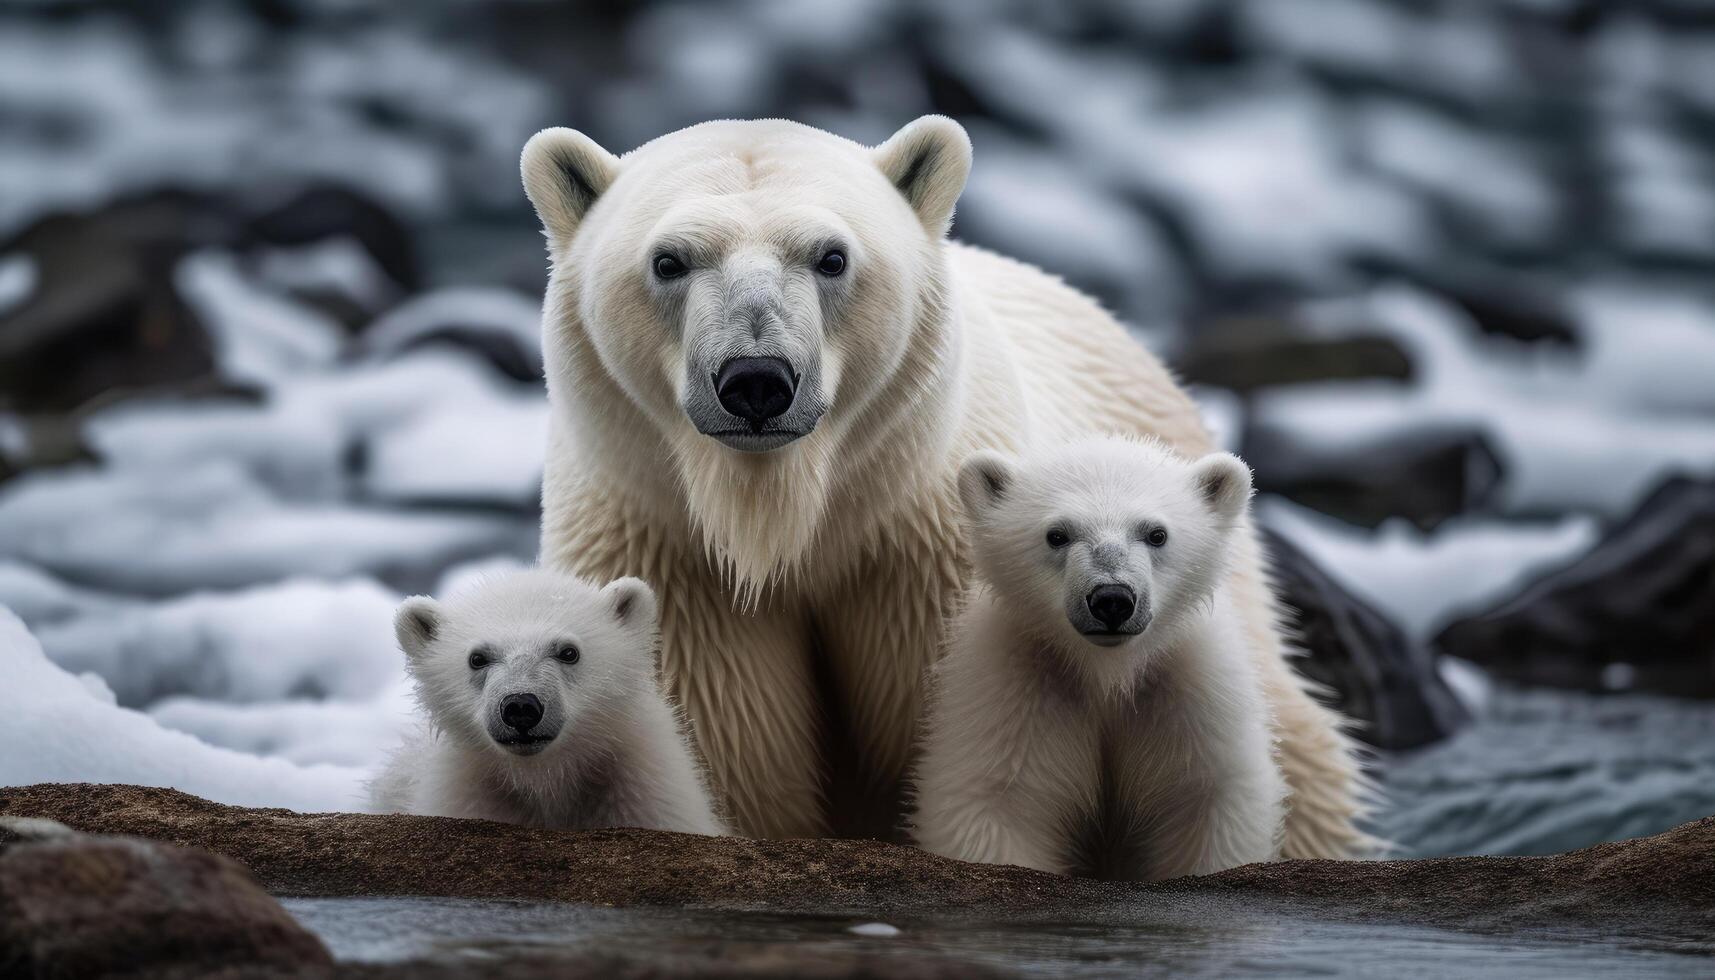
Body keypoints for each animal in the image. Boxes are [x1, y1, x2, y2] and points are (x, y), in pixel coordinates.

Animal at [517, 113, 1365, 851]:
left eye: (831, 256)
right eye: (669, 260)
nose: (756, 379)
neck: (782, 511)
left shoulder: (925, 548)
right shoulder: (667, 550)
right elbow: (727, 744)